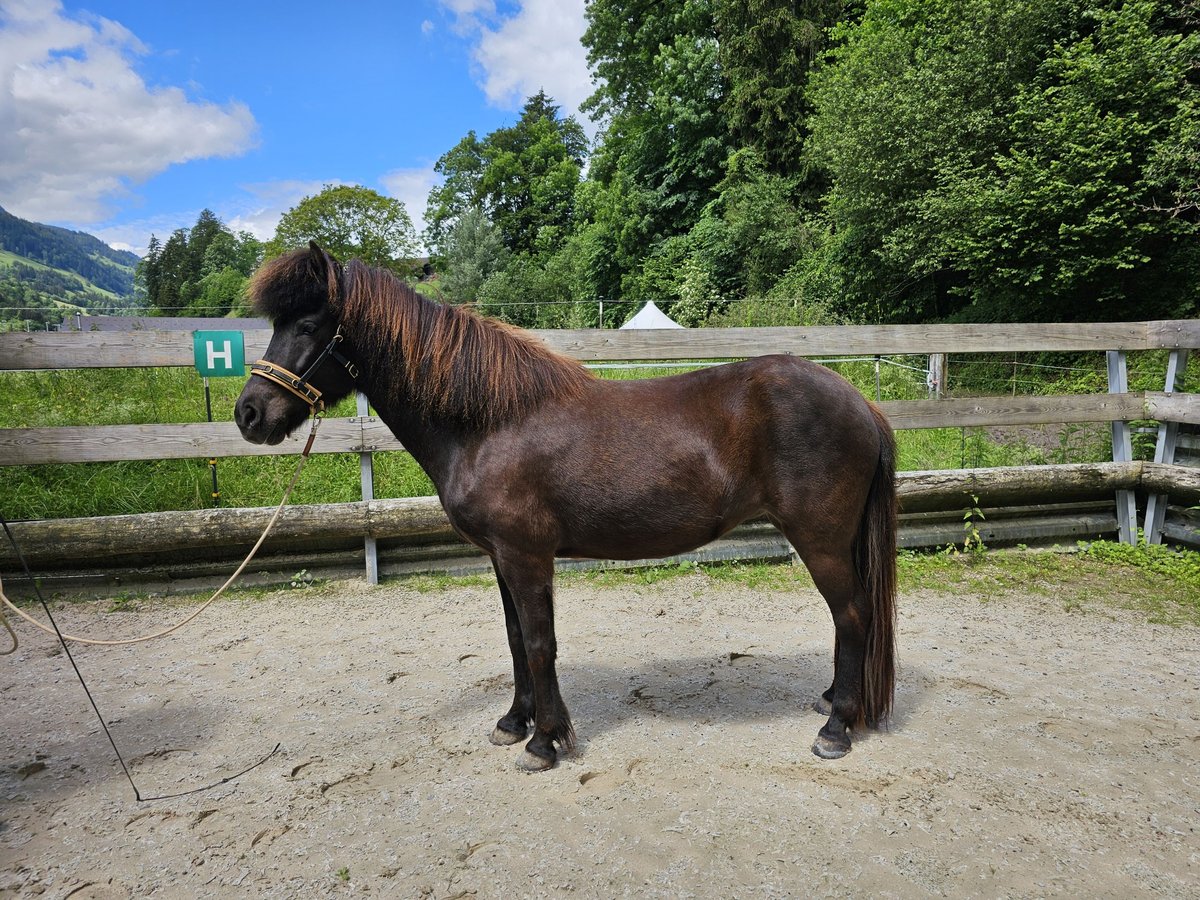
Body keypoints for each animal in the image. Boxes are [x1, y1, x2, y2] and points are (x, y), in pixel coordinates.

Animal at [234, 243, 897, 772]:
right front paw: (513, 722)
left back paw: (836, 727)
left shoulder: (527, 556)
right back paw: (835, 702)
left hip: (820, 539)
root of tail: (861, 402)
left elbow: (538, 643)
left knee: (853, 615)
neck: (488, 422)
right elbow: (513, 639)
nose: (250, 414)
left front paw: (545, 742)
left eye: (308, 323)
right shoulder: (500, 558)